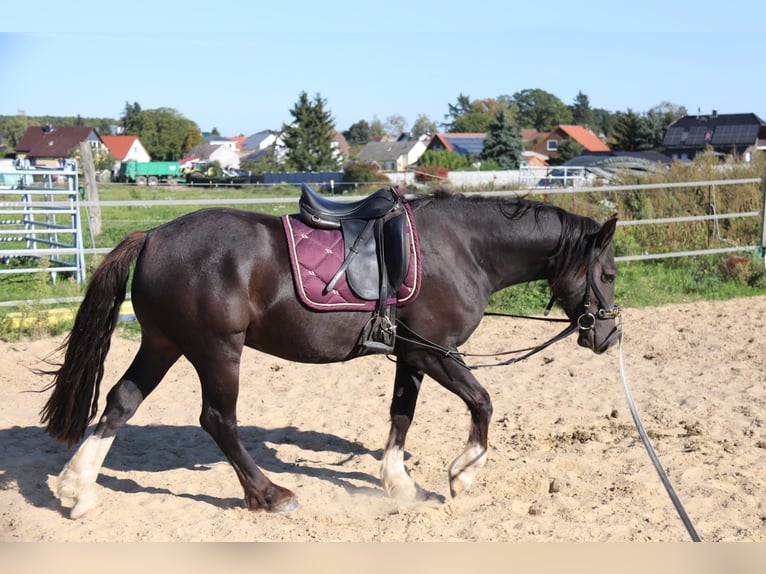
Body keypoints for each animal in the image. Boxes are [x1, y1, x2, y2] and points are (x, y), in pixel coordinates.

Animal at [40, 189, 620, 519]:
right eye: (610, 274)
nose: (609, 337)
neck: (463, 248)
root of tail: (154, 236)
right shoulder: (437, 352)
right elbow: (482, 402)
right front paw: (462, 474)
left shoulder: (411, 354)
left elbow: (401, 415)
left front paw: (401, 486)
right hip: (216, 350)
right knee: (218, 420)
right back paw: (270, 495)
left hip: (164, 344)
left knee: (121, 402)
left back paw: (77, 489)